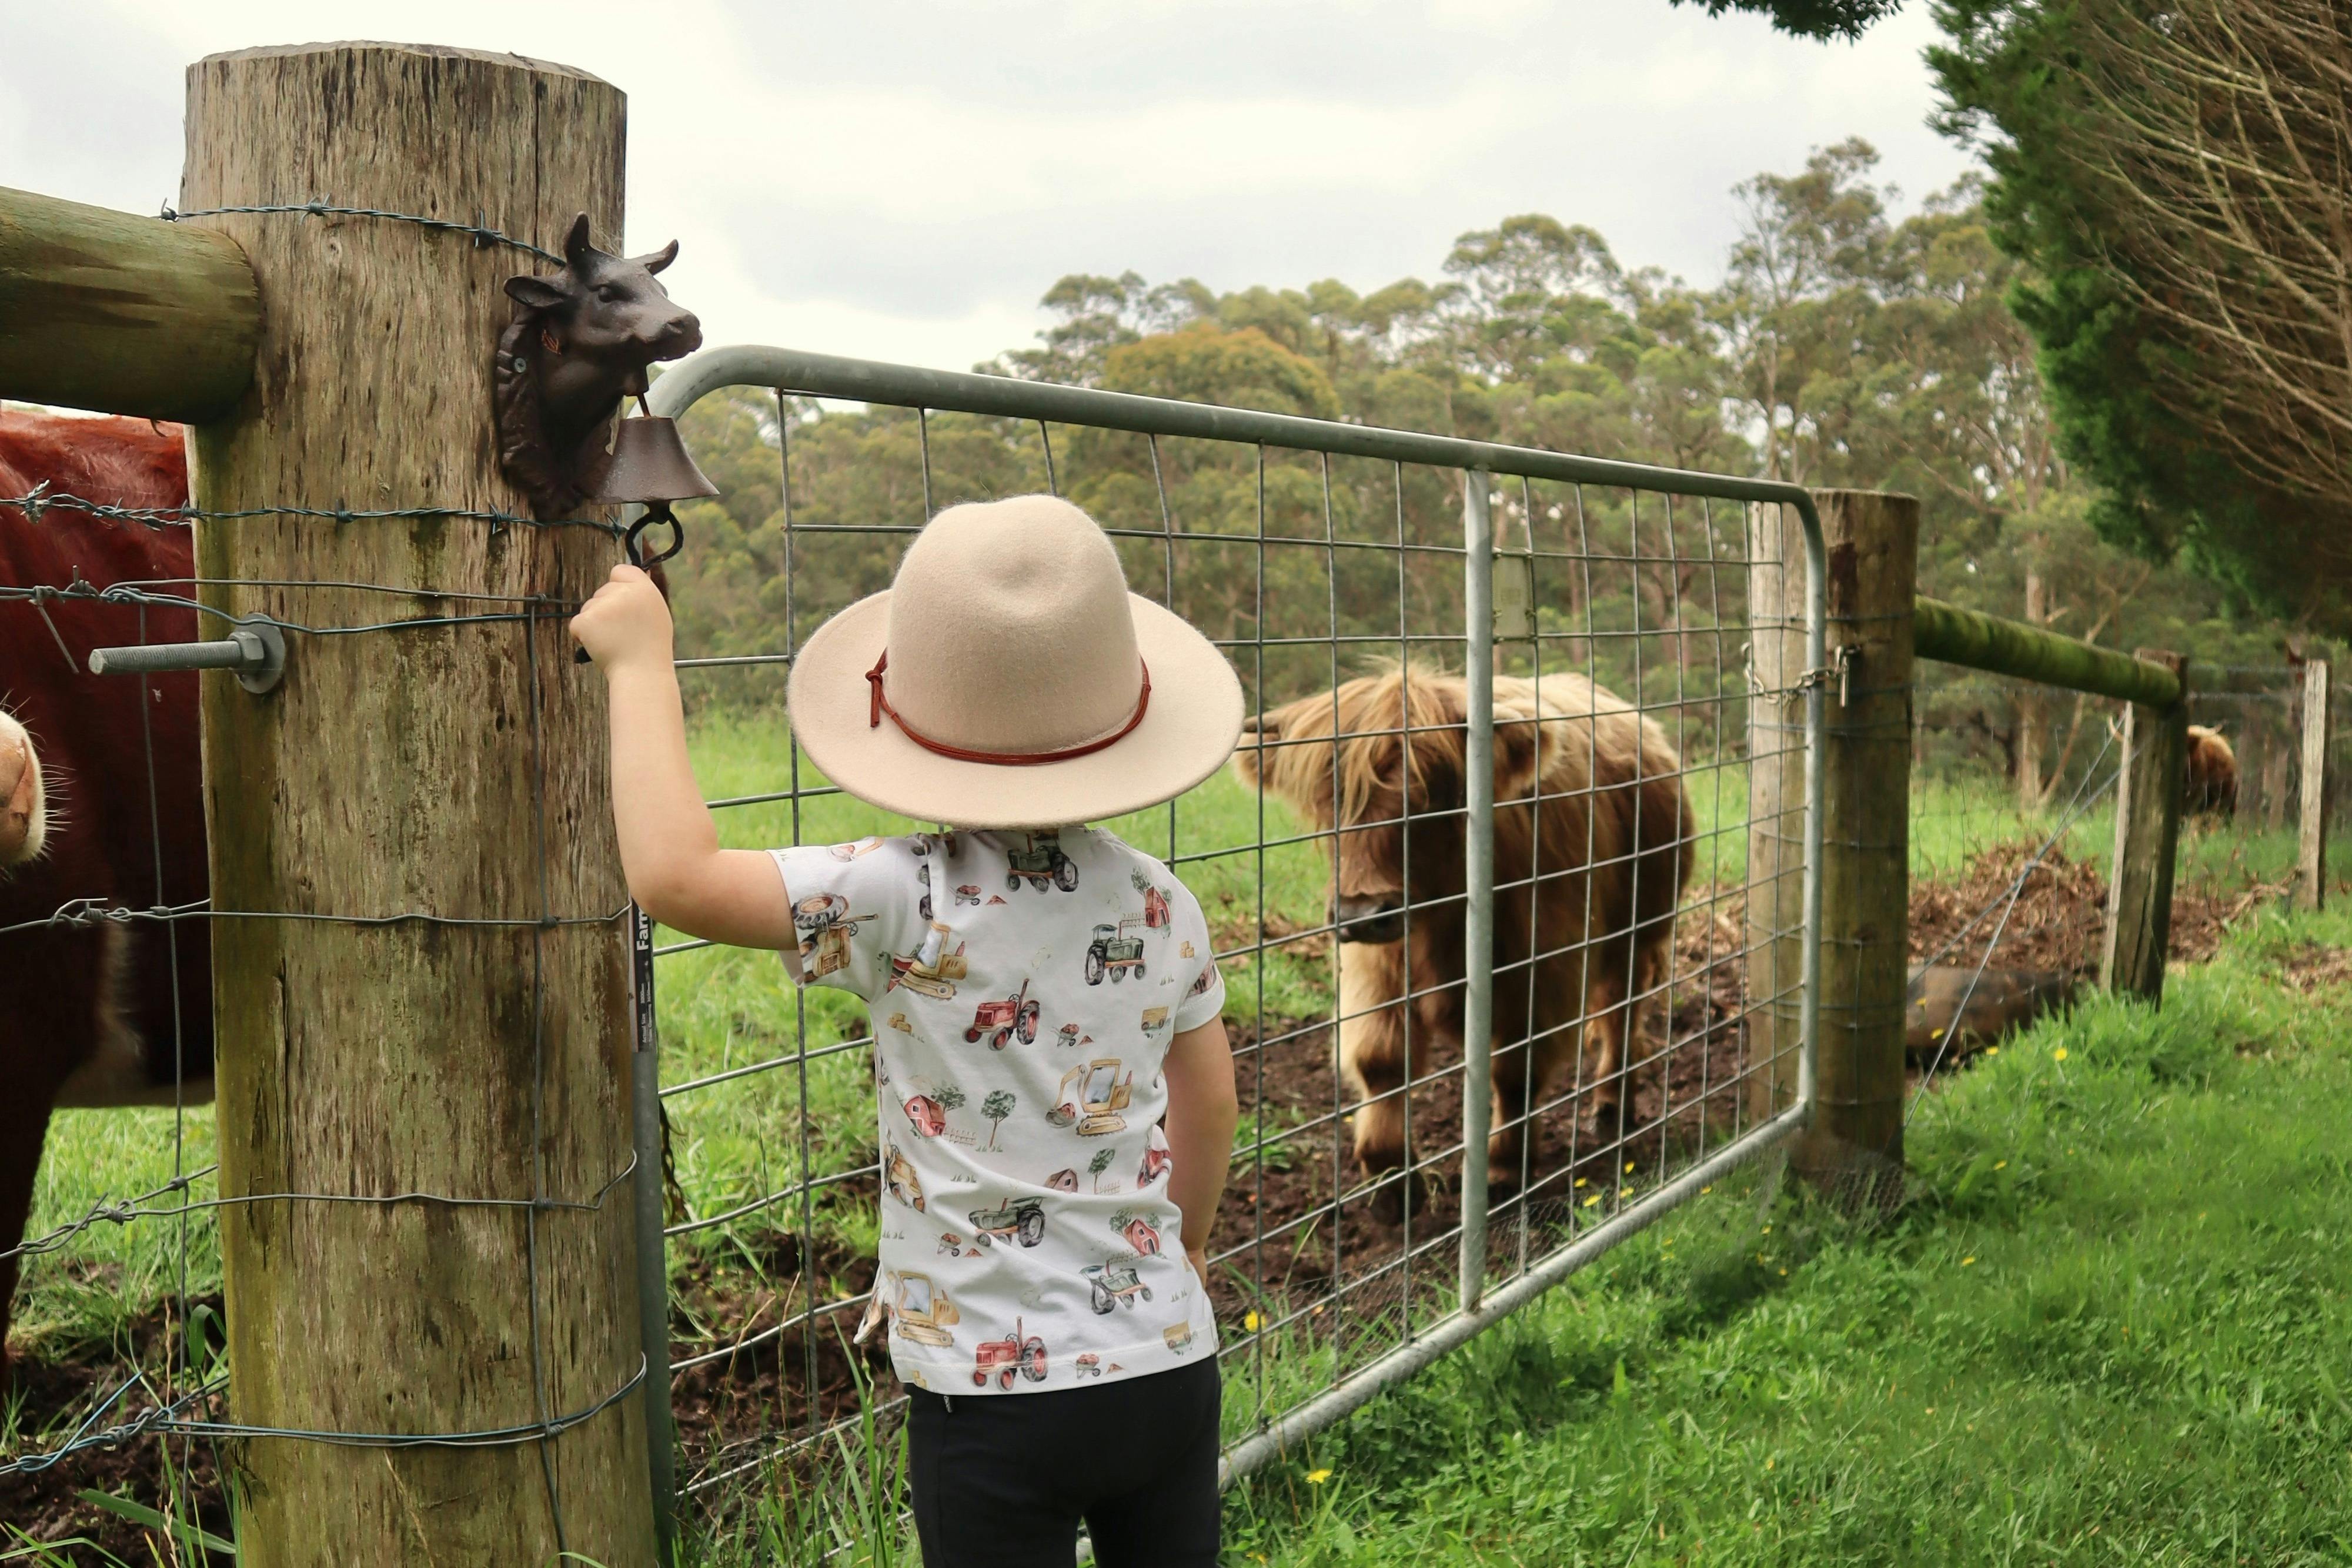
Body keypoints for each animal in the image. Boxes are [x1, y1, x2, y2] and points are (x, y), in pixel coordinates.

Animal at [1235, 668, 1693, 1210]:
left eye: (1435, 796)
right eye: (1329, 801)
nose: (1364, 914)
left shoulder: (1541, 974)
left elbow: (1516, 1072)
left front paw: (1503, 1169)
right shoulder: (1375, 970)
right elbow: (1381, 1062)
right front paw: (1391, 1180)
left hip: (1641, 931)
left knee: (1622, 1013)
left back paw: (1611, 1106)